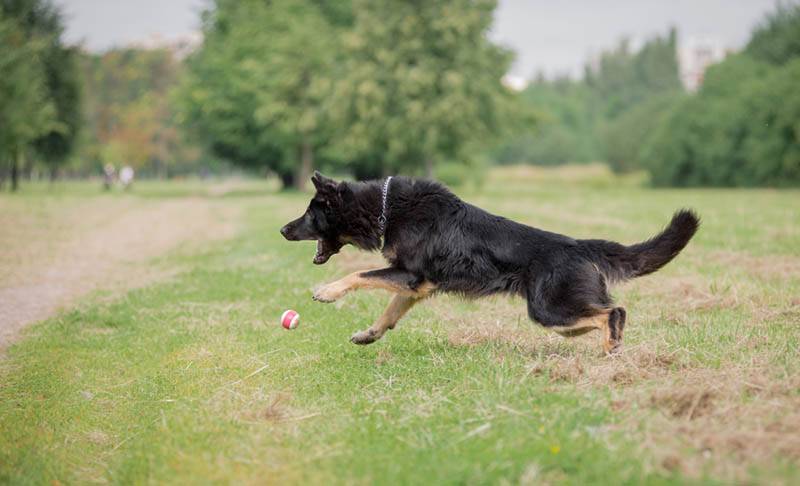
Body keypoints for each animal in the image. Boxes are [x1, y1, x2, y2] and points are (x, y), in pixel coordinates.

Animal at [282, 171, 700, 354]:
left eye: (310, 213)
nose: (283, 229)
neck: (386, 208)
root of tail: (579, 246)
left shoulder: (409, 274)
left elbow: (358, 273)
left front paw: (328, 291)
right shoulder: (418, 284)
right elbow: (390, 312)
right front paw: (369, 334)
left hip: (549, 311)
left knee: (613, 313)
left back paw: (610, 348)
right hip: (560, 317)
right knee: (609, 313)